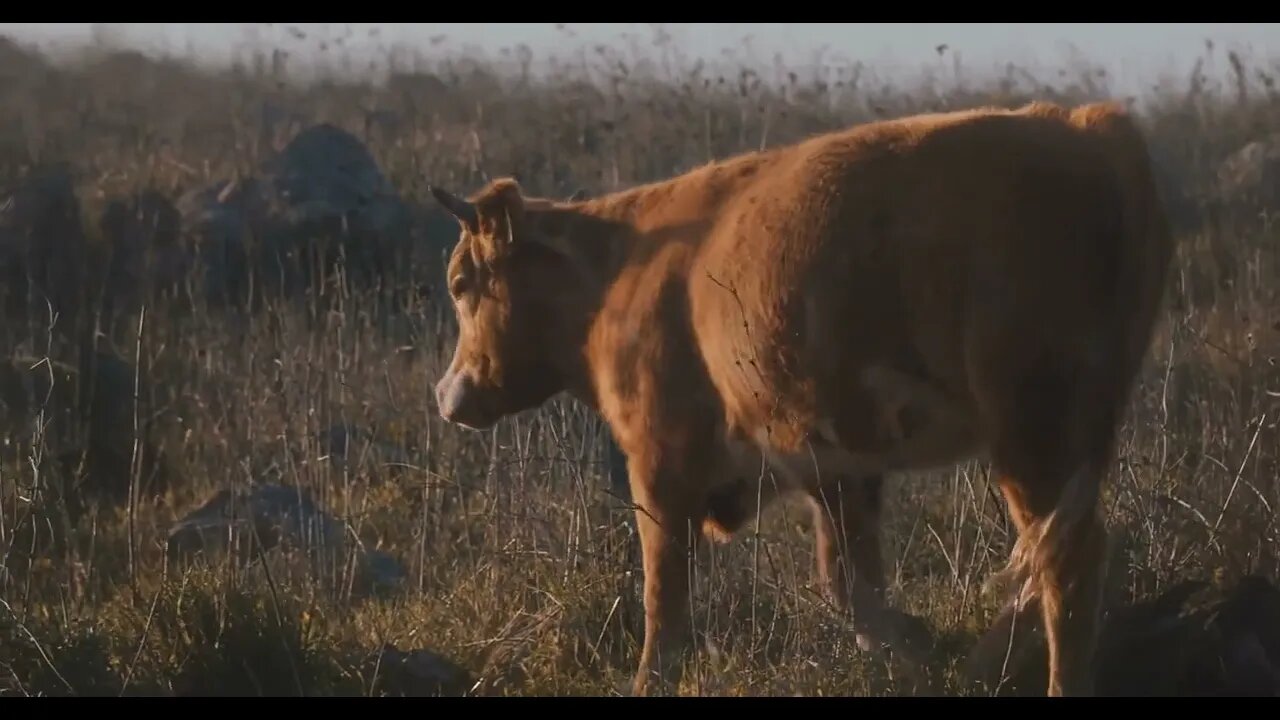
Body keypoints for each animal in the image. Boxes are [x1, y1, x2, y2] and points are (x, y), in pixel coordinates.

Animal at [430, 98, 1177, 691]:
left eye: (462, 284)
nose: (447, 395)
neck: (621, 271)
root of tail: (1083, 126)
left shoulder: (661, 462)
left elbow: (663, 598)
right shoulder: (837, 468)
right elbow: (851, 586)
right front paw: (912, 651)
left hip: (1033, 430)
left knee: (1068, 565)